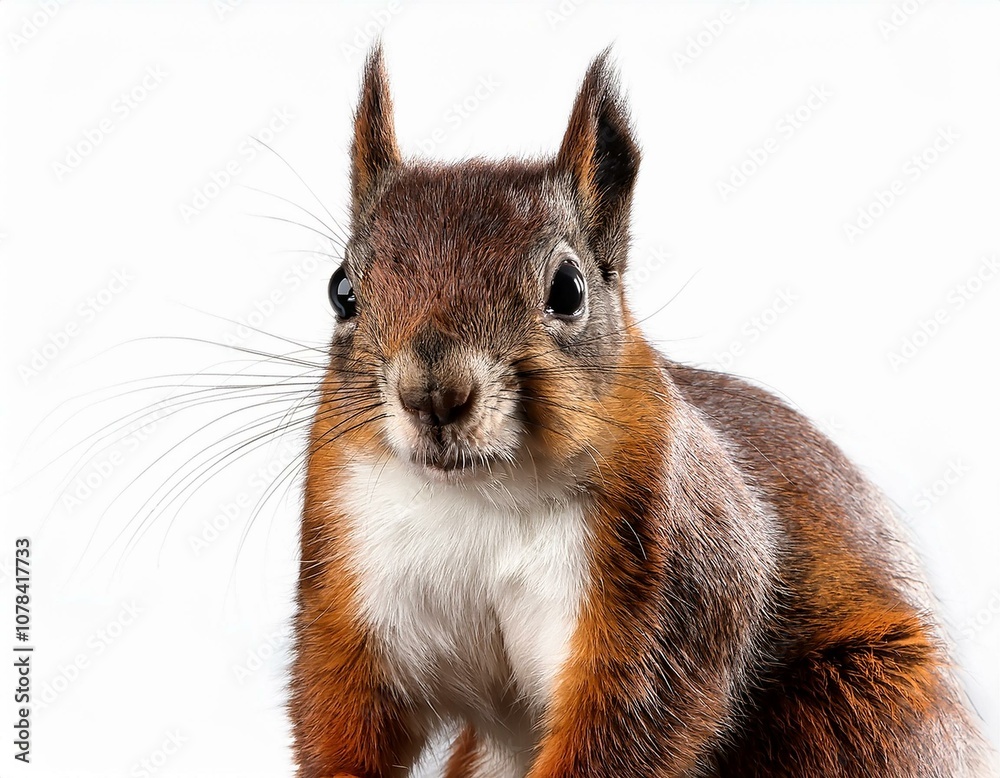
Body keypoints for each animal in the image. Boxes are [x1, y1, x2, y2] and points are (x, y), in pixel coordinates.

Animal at [289, 47, 993, 777]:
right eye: (341, 289)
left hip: (852, 718)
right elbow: (344, 711)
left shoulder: (668, 584)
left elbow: (629, 726)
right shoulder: (352, 584)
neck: (479, 494)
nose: (433, 395)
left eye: (568, 290)